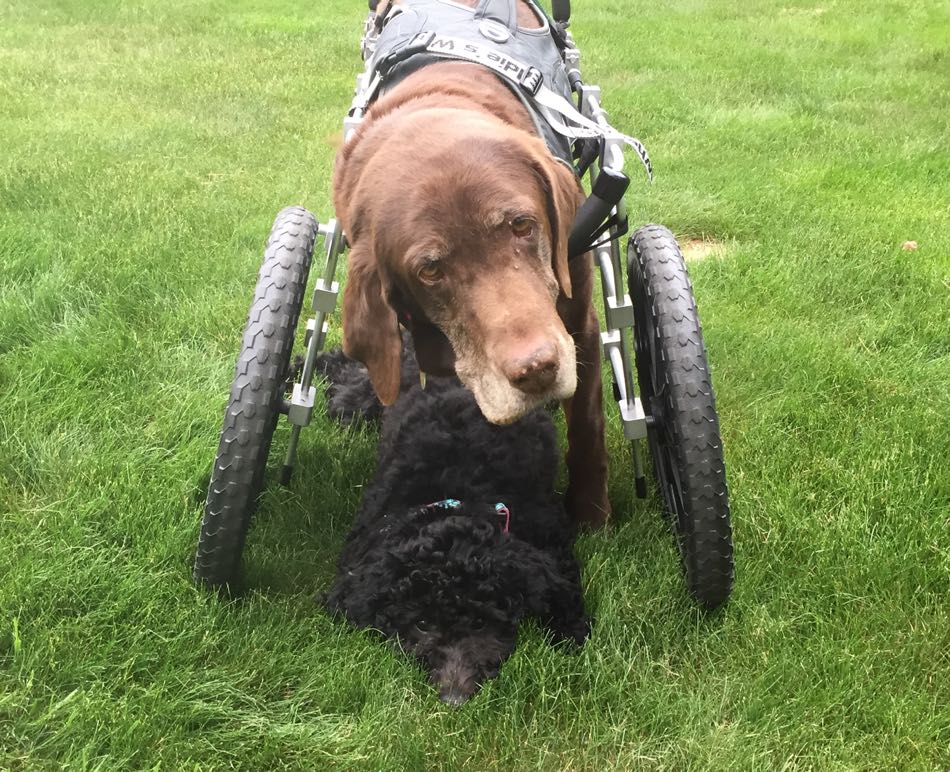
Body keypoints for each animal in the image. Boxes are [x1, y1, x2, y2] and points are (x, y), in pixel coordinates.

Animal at [320, 348, 588, 704]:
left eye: (480, 623)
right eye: (421, 623)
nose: (454, 698)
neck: (461, 492)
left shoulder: (548, 530)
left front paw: (570, 630)